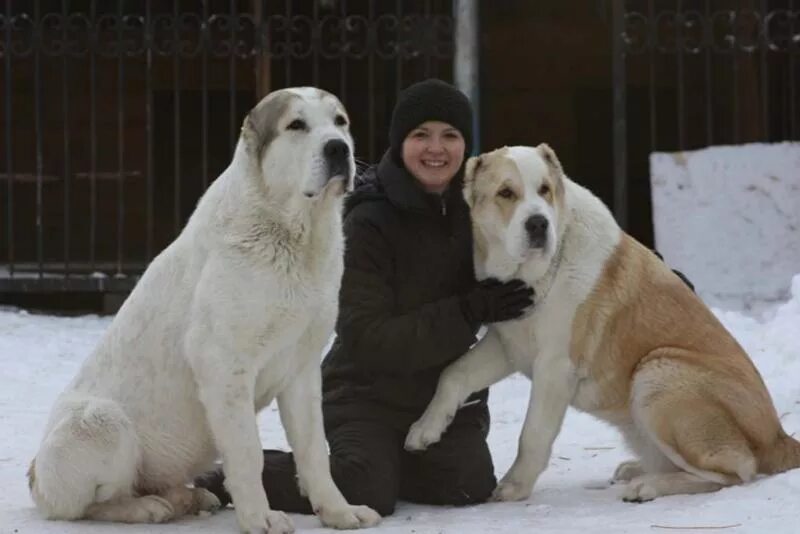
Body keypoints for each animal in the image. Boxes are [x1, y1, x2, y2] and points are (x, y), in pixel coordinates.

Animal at [26, 88, 382, 534]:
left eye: (340, 122)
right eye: (296, 125)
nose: (338, 148)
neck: (293, 238)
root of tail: (34, 474)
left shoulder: (301, 370)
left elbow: (315, 451)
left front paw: (338, 512)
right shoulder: (224, 366)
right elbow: (248, 452)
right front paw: (259, 519)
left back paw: (186, 497)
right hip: (101, 421)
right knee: (91, 505)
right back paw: (148, 508)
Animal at [406, 144, 800, 504]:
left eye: (545, 190)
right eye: (506, 193)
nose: (538, 223)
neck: (539, 273)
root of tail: (778, 436)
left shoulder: (555, 365)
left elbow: (532, 433)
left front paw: (514, 487)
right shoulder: (508, 345)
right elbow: (453, 374)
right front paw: (424, 429)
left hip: (657, 370)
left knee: (736, 470)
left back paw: (648, 486)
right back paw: (638, 470)